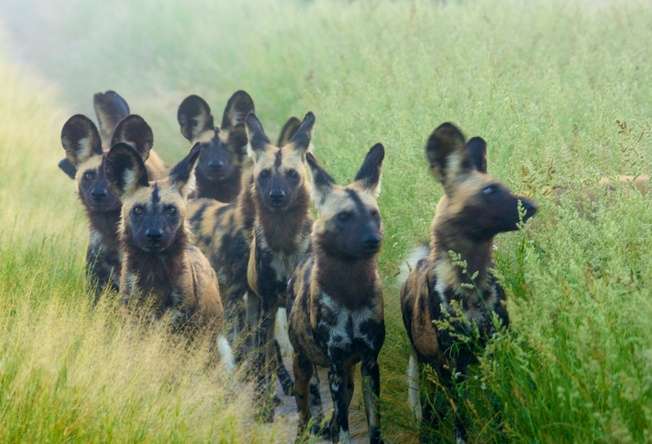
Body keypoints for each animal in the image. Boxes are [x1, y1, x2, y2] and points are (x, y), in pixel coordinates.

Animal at [400, 123, 536, 442]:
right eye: (489, 191)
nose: (532, 206)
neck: (471, 283)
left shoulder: (495, 351)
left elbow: (498, 407)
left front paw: (502, 434)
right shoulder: (452, 365)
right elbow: (460, 418)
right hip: (430, 364)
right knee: (431, 407)